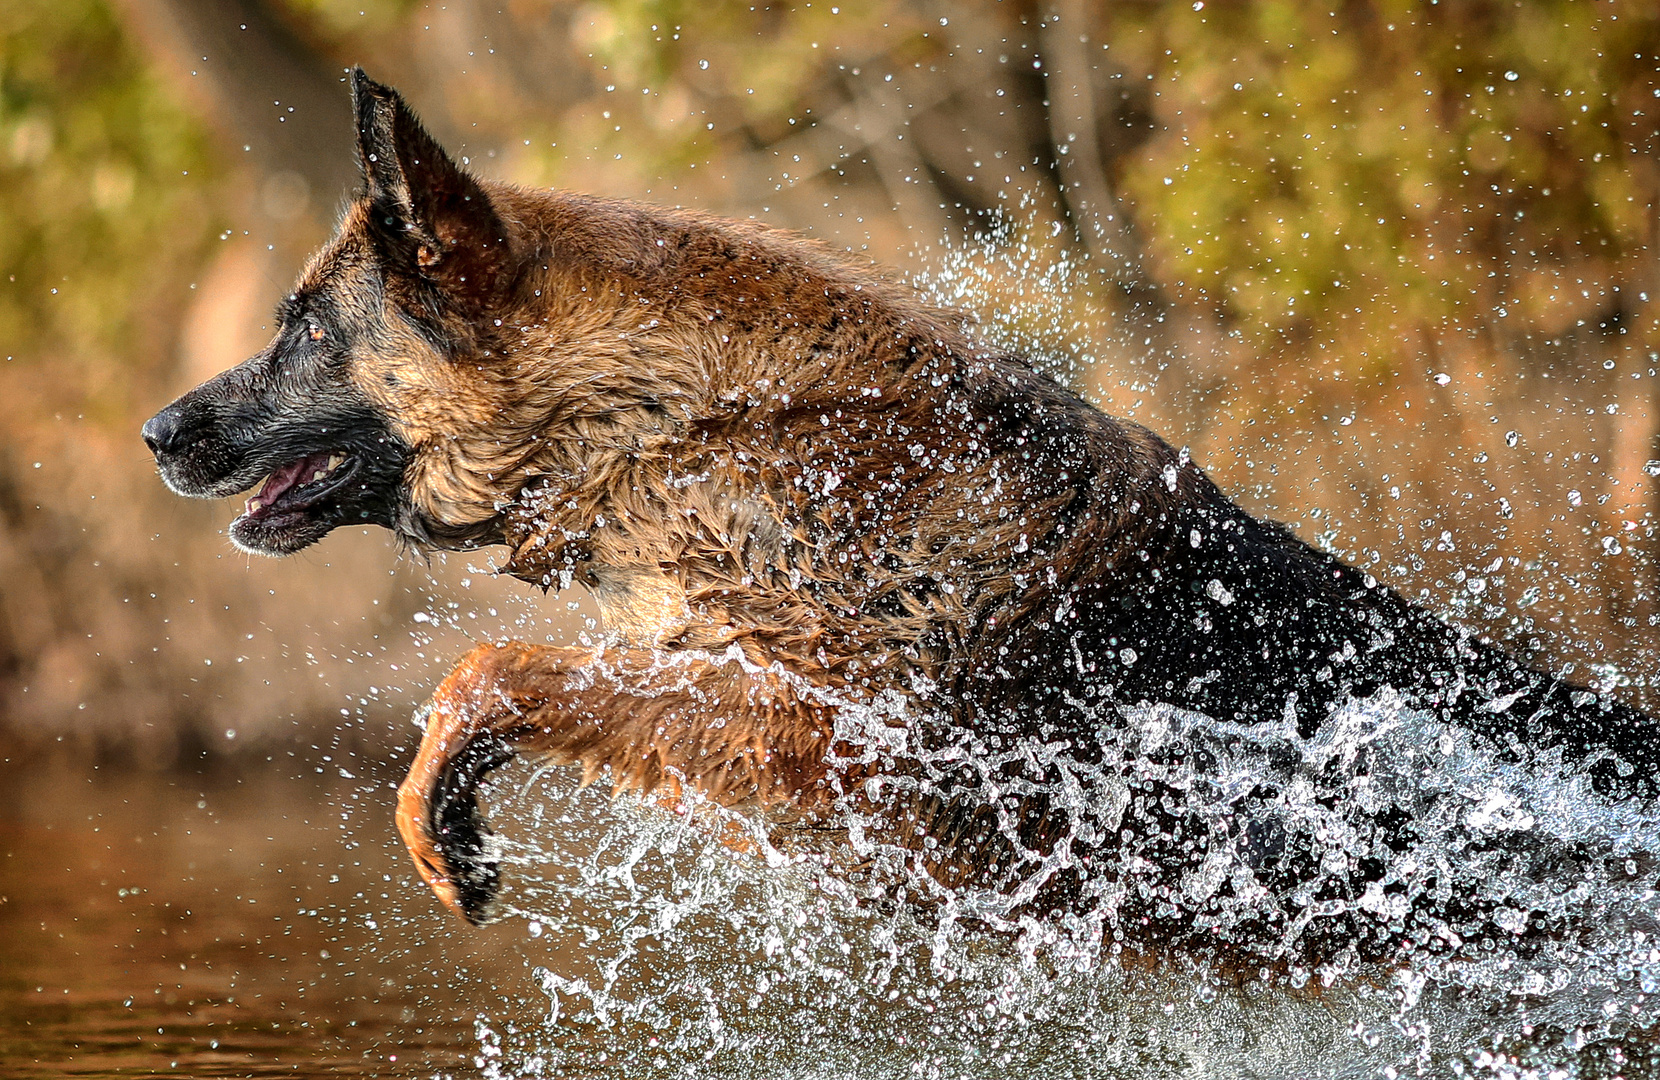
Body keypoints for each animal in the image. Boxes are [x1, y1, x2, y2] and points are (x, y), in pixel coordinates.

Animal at [149, 73, 1653, 968]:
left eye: (301, 330)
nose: (159, 434)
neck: (690, 423)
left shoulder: (832, 736)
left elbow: (492, 670)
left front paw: (439, 821)